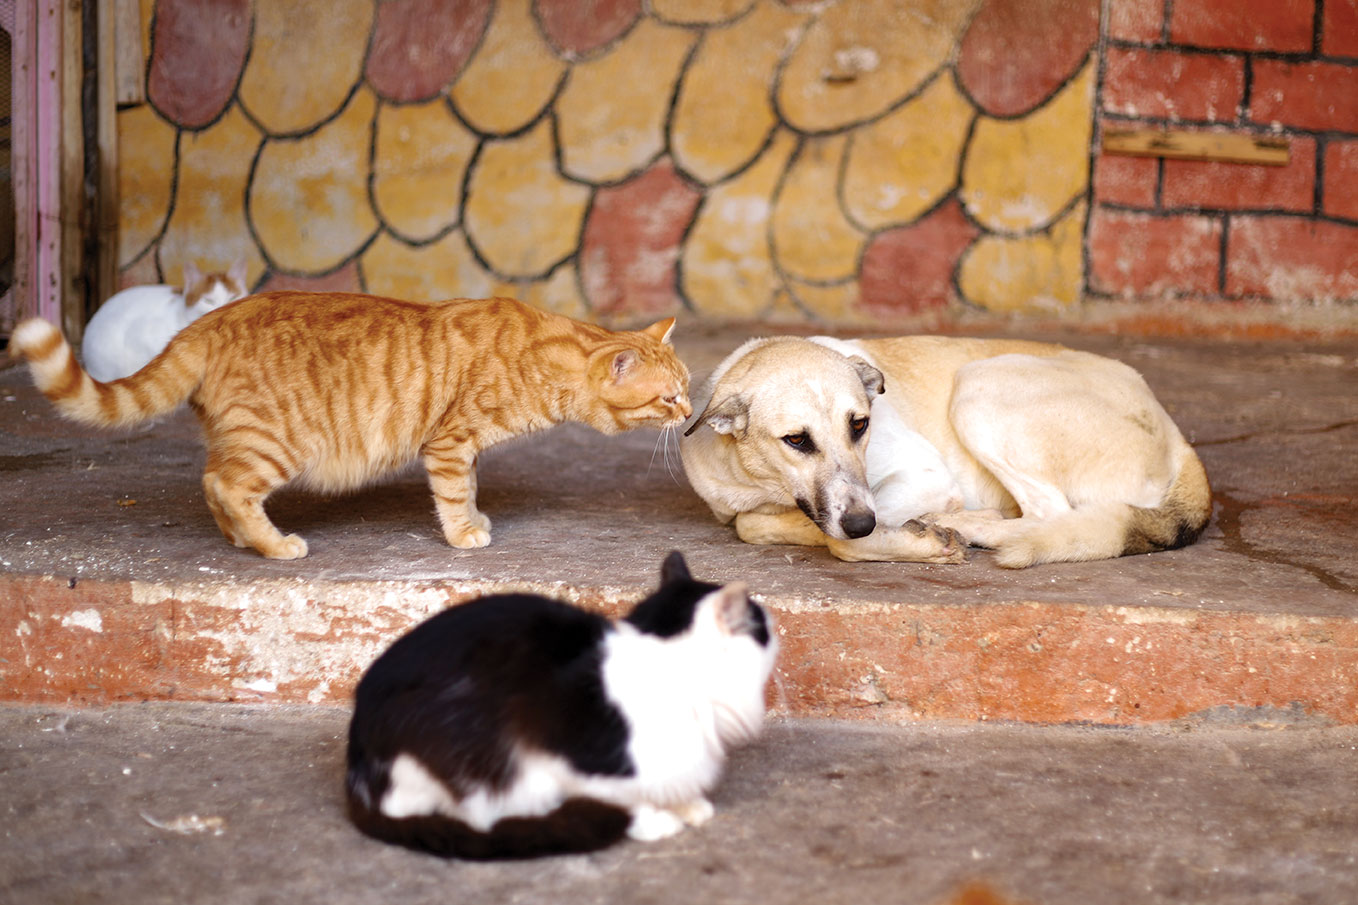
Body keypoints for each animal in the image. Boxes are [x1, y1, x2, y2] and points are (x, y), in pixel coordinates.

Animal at [10, 292, 689, 554]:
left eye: (687, 391)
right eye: (667, 400)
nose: (687, 419)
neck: (544, 354)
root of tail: (208, 320)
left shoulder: (462, 448)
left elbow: (469, 490)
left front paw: (476, 518)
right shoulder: (449, 444)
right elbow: (454, 495)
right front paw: (464, 532)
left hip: (238, 439)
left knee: (209, 481)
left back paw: (239, 538)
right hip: (277, 444)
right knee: (228, 484)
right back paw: (273, 544)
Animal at [344, 546, 782, 858]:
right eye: (762, 626)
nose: (775, 627)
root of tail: (357, 758)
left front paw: (686, 805)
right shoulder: (574, 763)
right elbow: (627, 800)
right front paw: (655, 822)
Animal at [679, 334, 1211, 568]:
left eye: (860, 425)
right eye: (796, 440)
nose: (863, 523)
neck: (761, 484)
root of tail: (1178, 437)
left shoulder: (923, 477)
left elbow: (840, 541)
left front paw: (919, 540)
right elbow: (753, 525)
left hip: (978, 387)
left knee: (1050, 513)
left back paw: (969, 528)